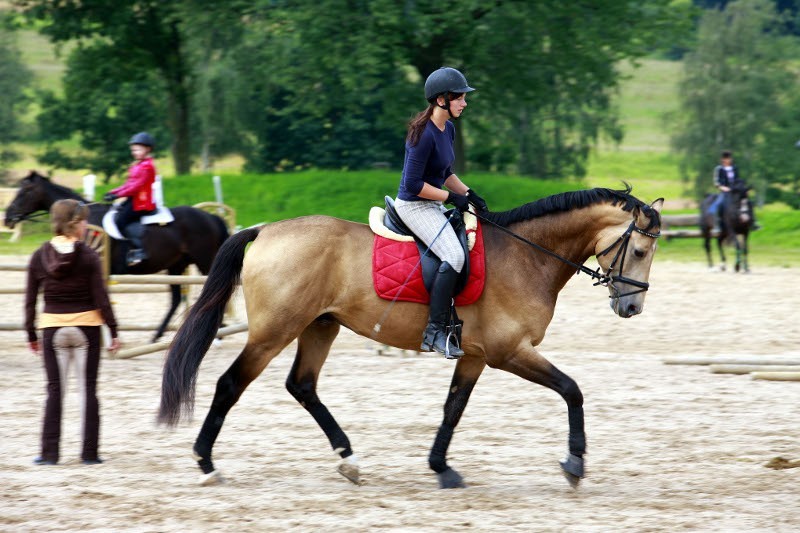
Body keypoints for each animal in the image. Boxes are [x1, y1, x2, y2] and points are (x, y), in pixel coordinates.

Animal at [3, 170, 228, 340]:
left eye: (26, 191)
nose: (7, 218)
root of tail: (211, 217)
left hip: (205, 261)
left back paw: (218, 330)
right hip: (176, 266)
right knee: (176, 299)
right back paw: (158, 335)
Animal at [156, 185, 664, 488]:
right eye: (640, 251)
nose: (632, 308)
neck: (528, 256)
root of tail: (262, 232)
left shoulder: (476, 355)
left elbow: (453, 408)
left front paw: (441, 468)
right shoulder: (508, 352)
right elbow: (571, 390)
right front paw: (575, 464)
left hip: (320, 326)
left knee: (302, 385)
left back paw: (349, 459)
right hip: (273, 332)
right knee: (230, 385)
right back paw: (206, 464)